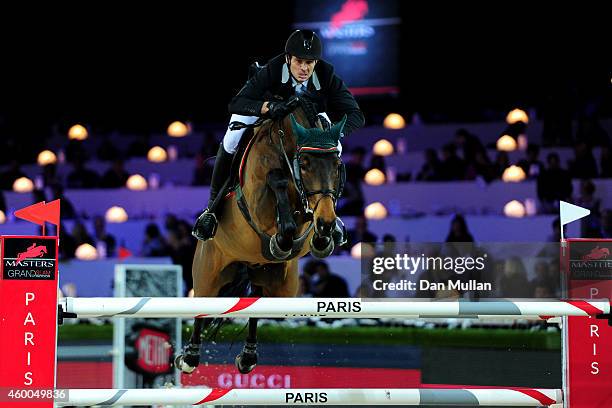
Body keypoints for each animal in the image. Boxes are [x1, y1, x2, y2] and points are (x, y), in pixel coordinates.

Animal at [177, 98, 346, 372]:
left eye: (337, 166)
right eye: (305, 164)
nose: (326, 221)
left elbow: (305, 223)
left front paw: (323, 238)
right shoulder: (258, 203)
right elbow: (276, 182)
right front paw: (282, 239)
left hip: (278, 284)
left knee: (257, 305)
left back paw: (247, 357)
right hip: (207, 275)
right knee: (202, 308)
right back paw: (189, 357)